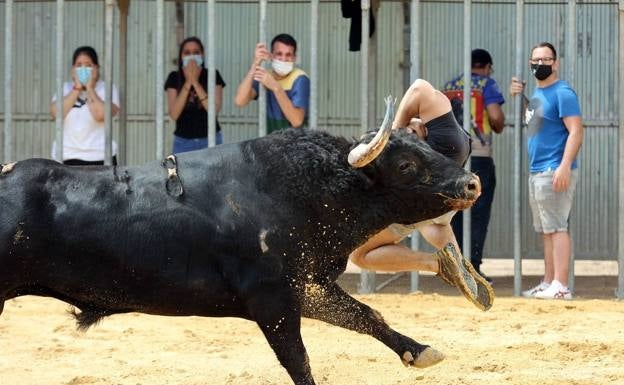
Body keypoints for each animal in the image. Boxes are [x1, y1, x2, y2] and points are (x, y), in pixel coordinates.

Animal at [0, 127, 478, 384]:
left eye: (428, 147)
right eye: (406, 165)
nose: (471, 183)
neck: (298, 189)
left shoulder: (307, 288)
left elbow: (366, 316)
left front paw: (420, 350)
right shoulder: (271, 301)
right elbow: (298, 360)